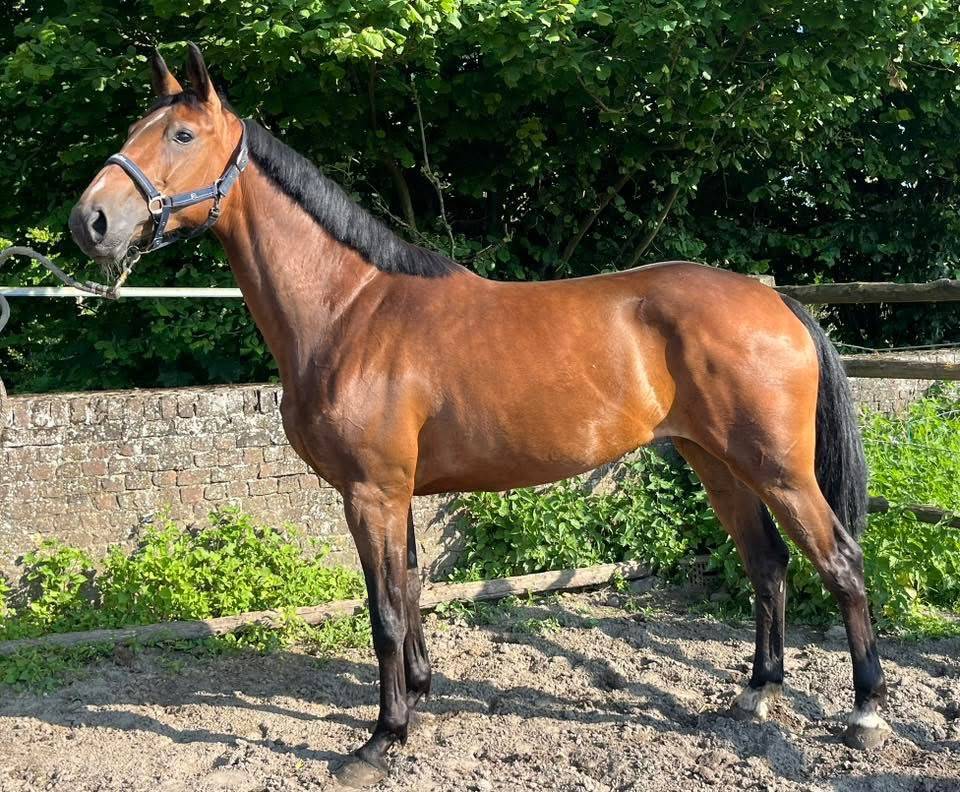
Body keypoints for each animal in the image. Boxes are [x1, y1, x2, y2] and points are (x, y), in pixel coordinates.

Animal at [69, 43, 889, 786]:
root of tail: (775, 301)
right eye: (139, 126)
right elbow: (408, 588)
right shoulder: (394, 492)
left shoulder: (370, 492)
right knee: (768, 563)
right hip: (717, 463)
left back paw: (866, 713)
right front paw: (419, 697)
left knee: (841, 563)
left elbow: (384, 610)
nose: (91, 222)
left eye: (180, 135)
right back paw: (756, 694)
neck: (350, 310)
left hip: (779, 470)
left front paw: (380, 739)